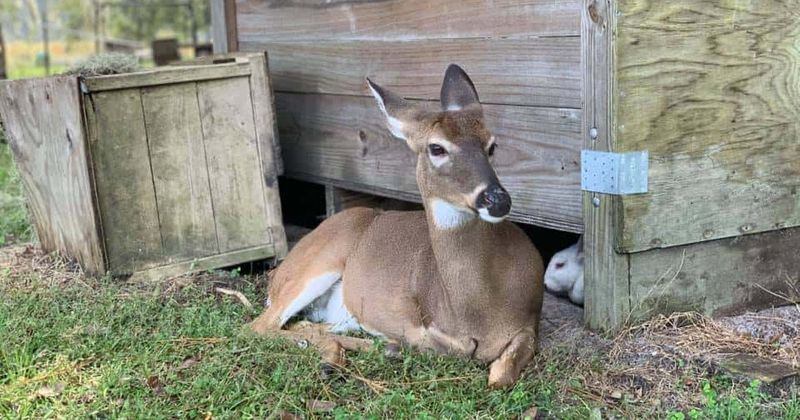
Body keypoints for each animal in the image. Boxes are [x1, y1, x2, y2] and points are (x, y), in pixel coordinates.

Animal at [248, 64, 545, 388]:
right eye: (436, 148)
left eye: (492, 145)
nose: (497, 200)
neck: (477, 311)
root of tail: (277, 275)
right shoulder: (416, 321)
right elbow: (446, 346)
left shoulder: (531, 320)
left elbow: (502, 374)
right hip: (318, 261)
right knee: (259, 326)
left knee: (306, 324)